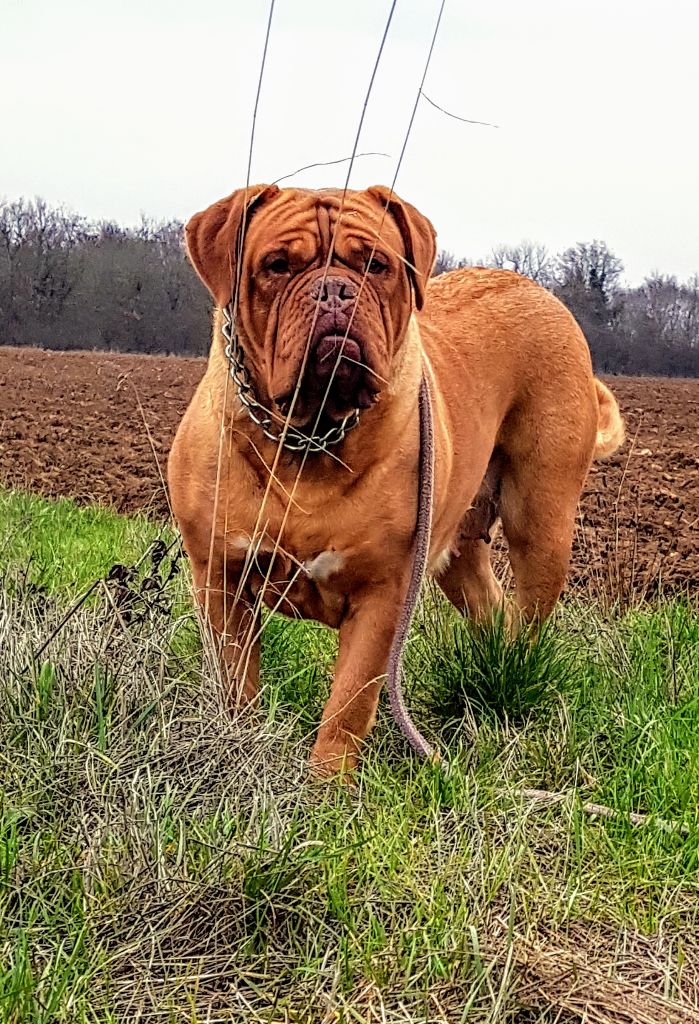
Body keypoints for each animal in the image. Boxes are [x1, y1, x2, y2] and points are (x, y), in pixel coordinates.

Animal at [167, 184, 622, 770]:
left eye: (376, 265)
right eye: (277, 265)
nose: (336, 291)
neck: (309, 436)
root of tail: (539, 291)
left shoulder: (384, 594)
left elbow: (347, 704)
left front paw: (327, 784)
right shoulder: (221, 579)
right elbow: (235, 683)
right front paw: (238, 749)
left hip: (542, 524)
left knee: (528, 618)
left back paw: (512, 682)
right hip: (458, 548)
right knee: (490, 608)